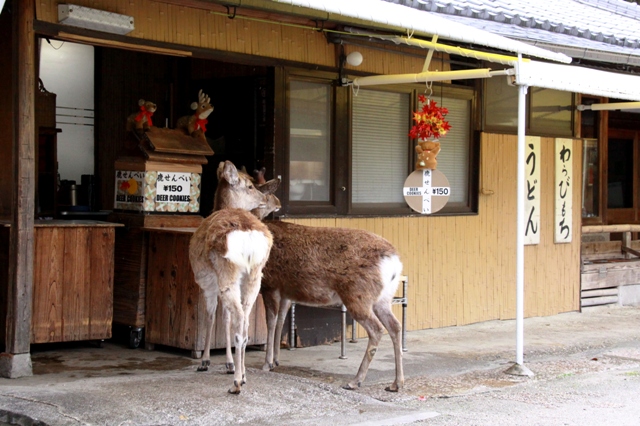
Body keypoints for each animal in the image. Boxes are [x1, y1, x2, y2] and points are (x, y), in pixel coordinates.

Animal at [185, 161, 276, 394]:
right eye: (250, 186)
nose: (265, 199)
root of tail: (249, 234)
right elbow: (224, 318)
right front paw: (229, 364)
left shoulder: (207, 284)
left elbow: (211, 316)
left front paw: (206, 361)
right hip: (254, 278)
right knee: (244, 325)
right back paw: (242, 376)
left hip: (228, 275)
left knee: (237, 322)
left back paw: (235, 384)